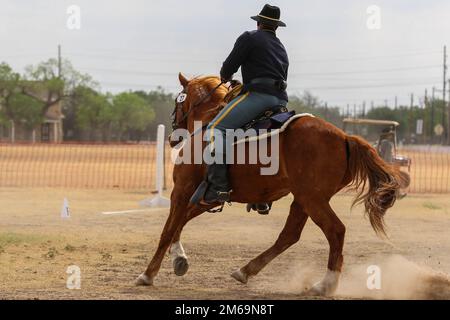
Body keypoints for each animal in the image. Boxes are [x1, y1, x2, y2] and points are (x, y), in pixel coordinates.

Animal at [134, 74, 400, 296]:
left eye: (178, 101)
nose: (172, 137)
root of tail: (345, 137)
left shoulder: (182, 190)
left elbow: (168, 229)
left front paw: (148, 274)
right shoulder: (209, 196)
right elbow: (181, 222)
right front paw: (179, 258)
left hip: (312, 199)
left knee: (335, 231)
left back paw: (325, 284)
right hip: (304, 199)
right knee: (289, 235)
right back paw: (246, 270)